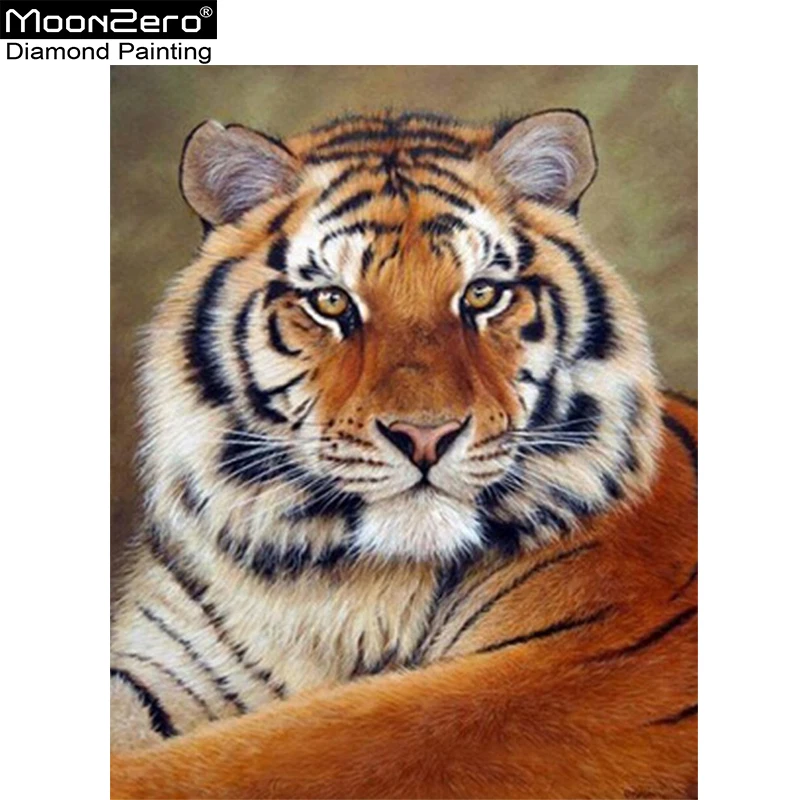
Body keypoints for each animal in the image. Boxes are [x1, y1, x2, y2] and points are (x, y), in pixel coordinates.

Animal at [110, 109, 698, 799]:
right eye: (332, 301)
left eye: (482, 295)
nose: (425, 436)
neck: (329, 584)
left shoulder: (568, 672)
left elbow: (276, 755)